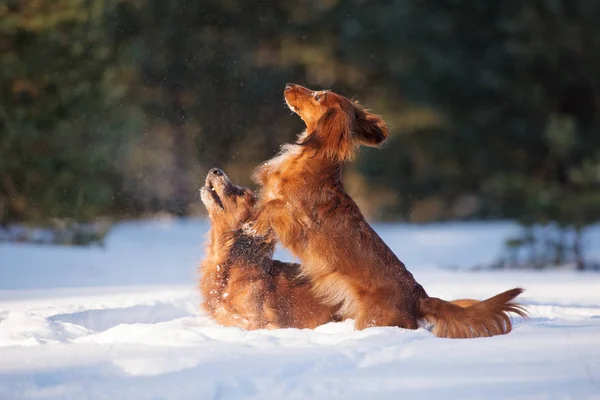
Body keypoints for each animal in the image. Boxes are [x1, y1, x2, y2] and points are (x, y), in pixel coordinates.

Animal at [251, 83, 528, 338]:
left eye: (319, 96)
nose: (288, 85)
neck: (309, 160)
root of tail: (419, 296)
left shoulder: (295, 216)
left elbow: (271, 206)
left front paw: (254, 224)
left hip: (372, 321)